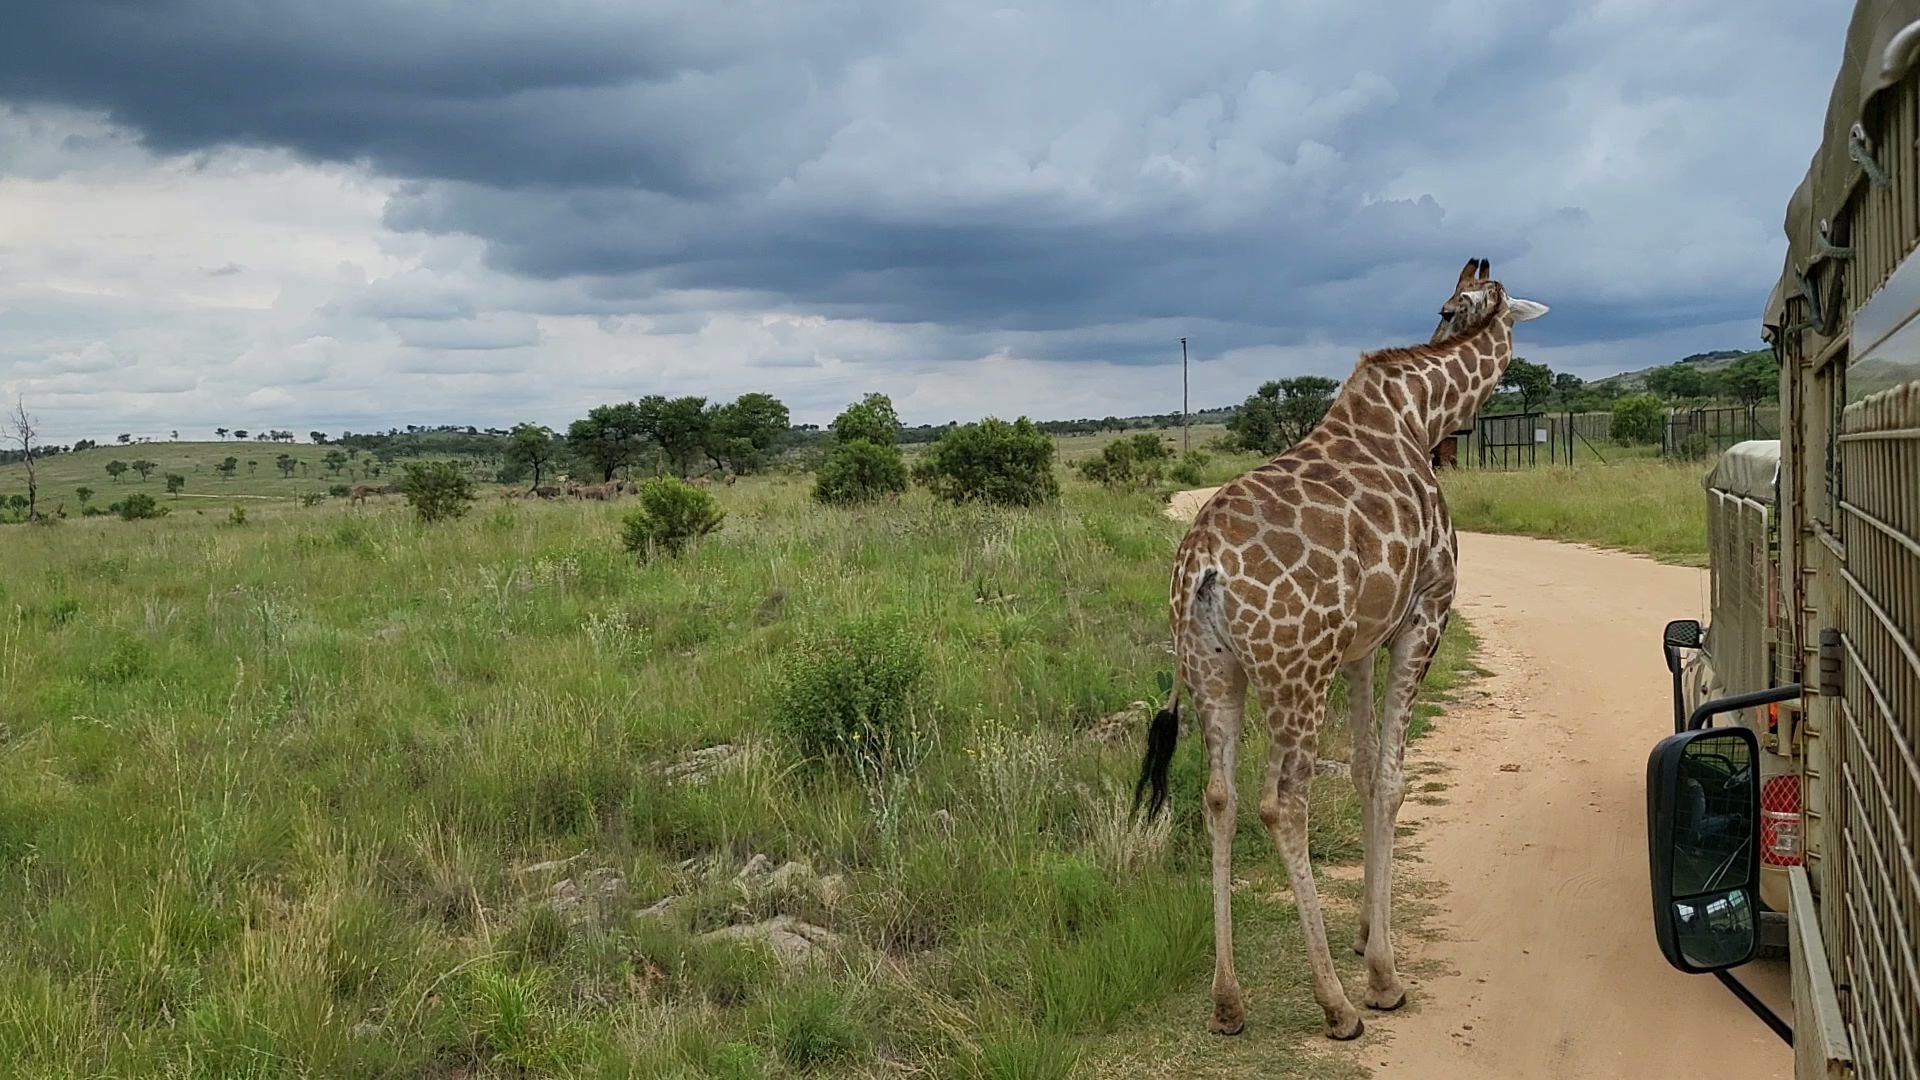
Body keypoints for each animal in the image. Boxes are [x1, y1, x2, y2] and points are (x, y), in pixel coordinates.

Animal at [1136, 255, 1543, 1037]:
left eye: (1451, 305)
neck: (1415, 413)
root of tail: (1202, 565)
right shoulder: (1425, 615)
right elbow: (1390, 777)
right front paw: (1382, 970)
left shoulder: (1359, 645)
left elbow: (1359, 772)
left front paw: (1364, 935)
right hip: (1297, 671)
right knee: (1281, 803)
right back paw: (1337, 1004)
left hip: (1215, 672)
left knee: (1219, 796)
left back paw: (1228, 1003)